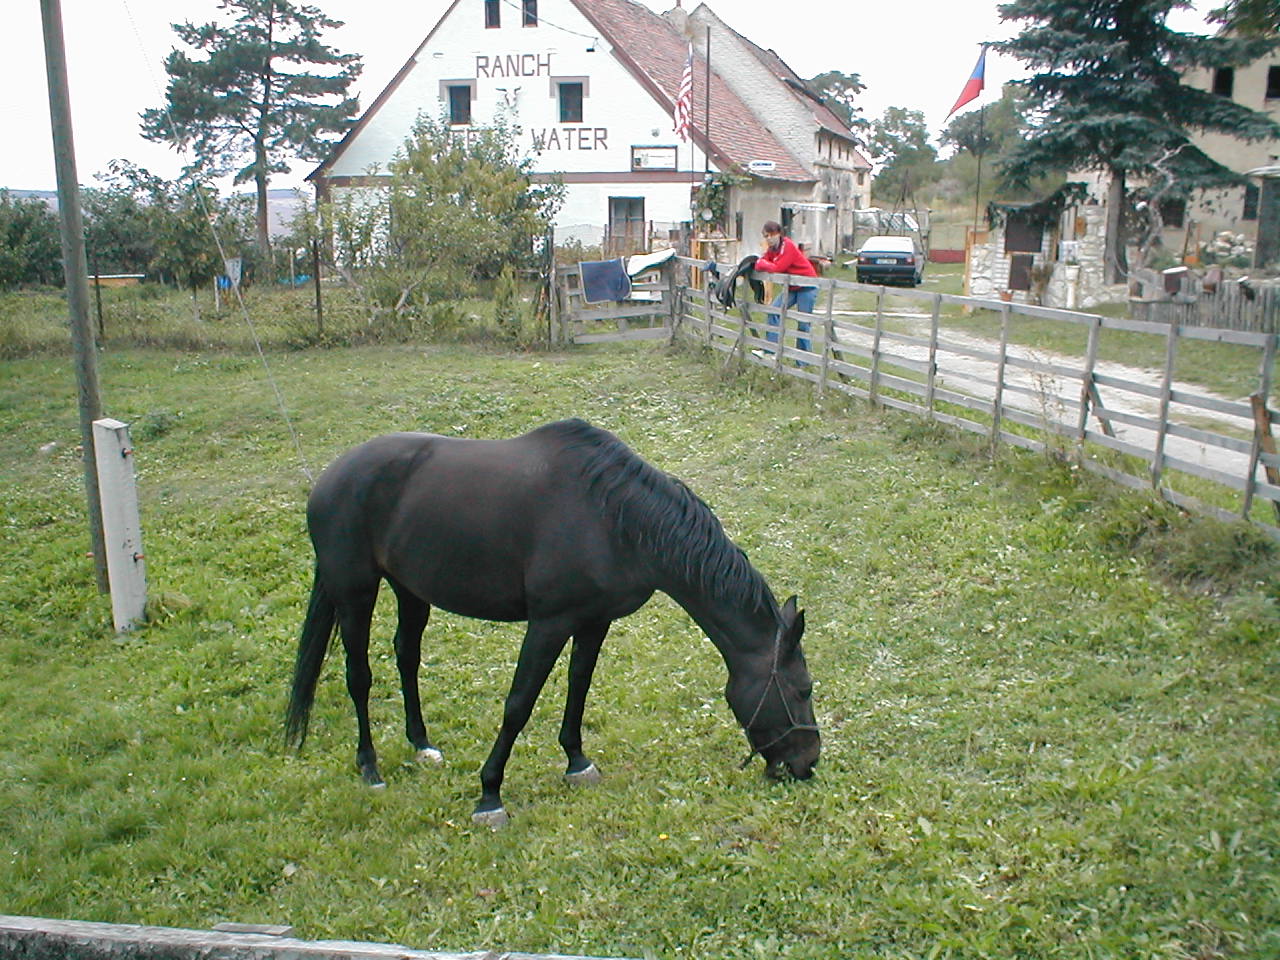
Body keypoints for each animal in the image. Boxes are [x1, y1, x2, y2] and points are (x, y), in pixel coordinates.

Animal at [285, 417, 819, 829]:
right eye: (802, 689)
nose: (808, 762)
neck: (614, 520)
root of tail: (330, 477)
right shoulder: (548, 623)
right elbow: (518, 704)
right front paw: (489, 796)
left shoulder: (593, 621)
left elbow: (578, 687)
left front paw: (577, 762)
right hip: (354, 591)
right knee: (359, 677)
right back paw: (370, 768)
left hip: (411, 589)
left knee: (406, 657)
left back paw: (421, 745)